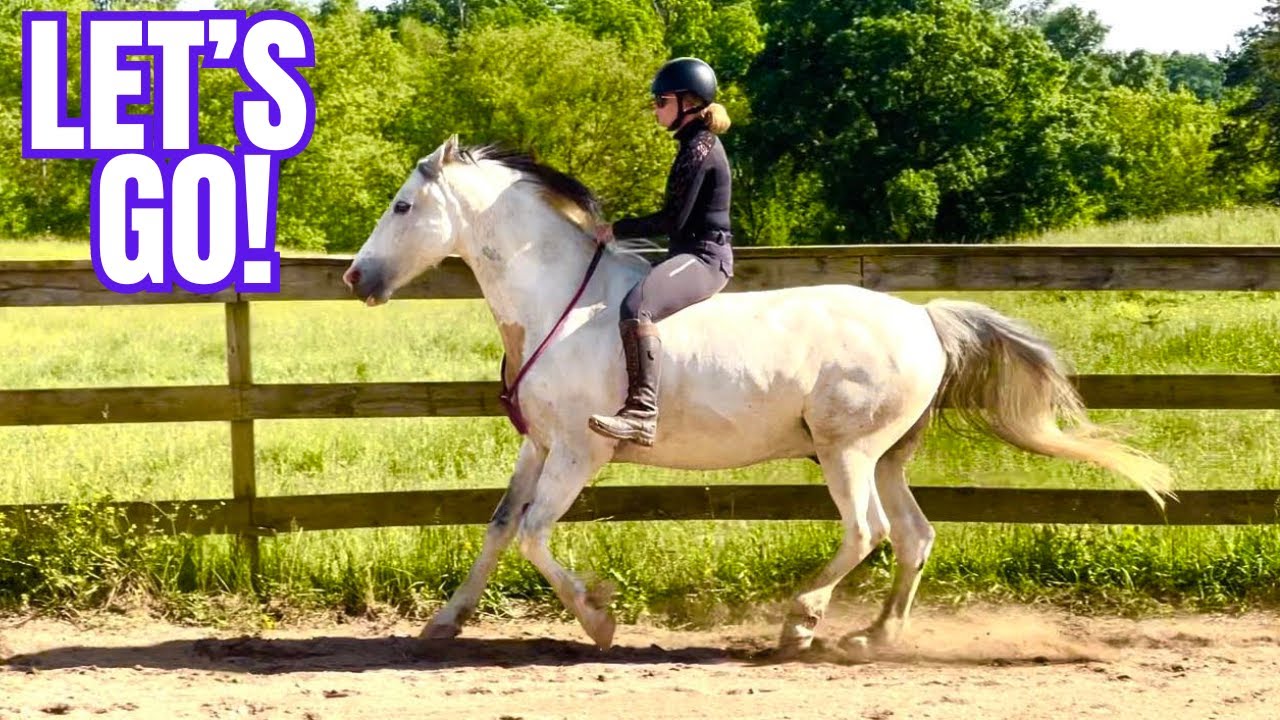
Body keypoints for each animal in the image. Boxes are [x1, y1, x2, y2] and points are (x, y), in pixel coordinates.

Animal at [341, 135, 1175, 657]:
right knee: (913, 536)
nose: (355, 278)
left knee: (866, 532)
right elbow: (498, 528)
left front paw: (599, 619)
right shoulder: (539, 444)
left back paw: (800, 624)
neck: (558, 303)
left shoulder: (581, 450)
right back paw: (873, 637)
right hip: (888, 455)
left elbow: (535, 536)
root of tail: (924, 320)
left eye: (404, 207)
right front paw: (444, 624)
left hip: (847, 451)